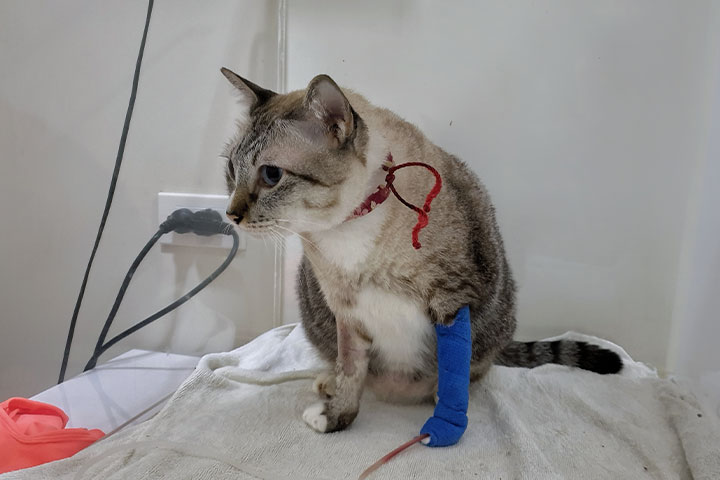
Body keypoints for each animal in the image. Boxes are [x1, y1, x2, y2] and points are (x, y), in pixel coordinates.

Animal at [221, 68, 624, 436]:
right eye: (230, 169)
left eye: (271, 175)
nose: (230, 215)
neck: (351, 225)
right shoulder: (346, 311)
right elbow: (351, 368)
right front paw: (338, 416)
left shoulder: (452, 301)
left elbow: (452, 372)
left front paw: (447, 423)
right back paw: (330, 382)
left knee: (474, 369)